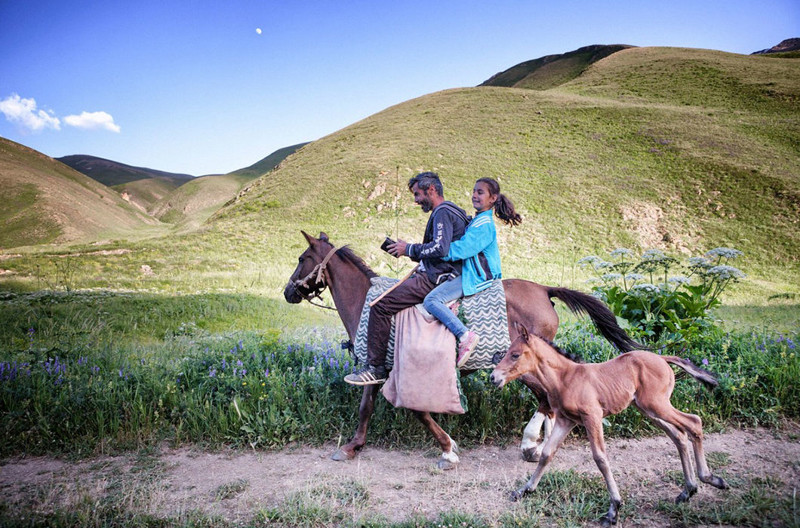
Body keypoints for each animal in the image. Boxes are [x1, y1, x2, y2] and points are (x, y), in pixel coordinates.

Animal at [284, 231, 640, 466]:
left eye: (302, 259)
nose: (288, 292)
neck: (369, 305)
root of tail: (544, 289)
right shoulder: (377, 369)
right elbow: (365, 408)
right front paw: (352, 446)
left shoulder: (404, 371)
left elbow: (418, 411)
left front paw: (447, 448)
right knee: (551, 401)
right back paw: (542, 443)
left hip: (523, 367)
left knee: (545, 400)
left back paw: (530, 443)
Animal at [490, 324, 728, 524]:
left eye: (515, 354)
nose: (493, 377)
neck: (566, 378)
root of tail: (662, 357)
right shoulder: (566, 420)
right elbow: (547, 453)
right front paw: (524, 490)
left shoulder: (592, 417)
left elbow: (600, 458)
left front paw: (614, 508)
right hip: (648, 409)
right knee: (678, 434)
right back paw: (688, 491)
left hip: (657, 404)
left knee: (694, 422)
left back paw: (710, 479)